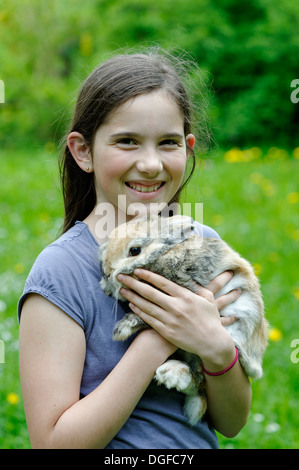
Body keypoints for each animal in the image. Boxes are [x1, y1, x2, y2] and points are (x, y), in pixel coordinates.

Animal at [99, 216, 270, 426]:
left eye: (135, 250)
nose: (107, 272)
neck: (164, 253)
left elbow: (143, 318)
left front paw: (121, 329)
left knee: (199, 380)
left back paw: (172, 374)